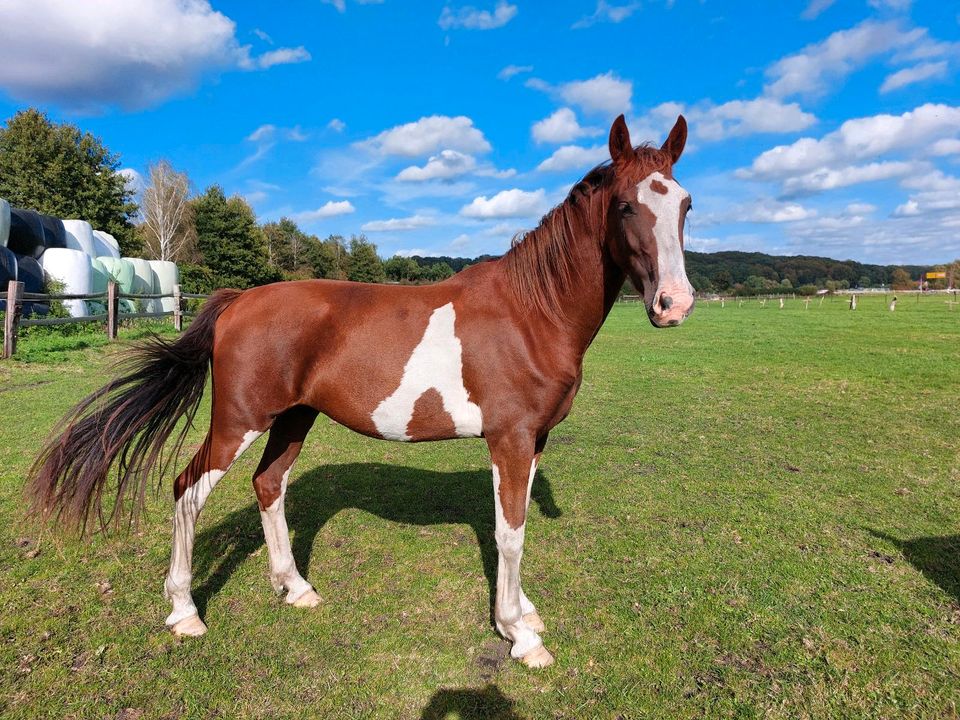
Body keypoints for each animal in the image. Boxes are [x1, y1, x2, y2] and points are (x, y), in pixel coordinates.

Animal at [26, 114, 692, 668]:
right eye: (627, 206)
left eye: (684, 204)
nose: (674, 305)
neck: (531, 312)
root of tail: (238, 301)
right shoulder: (510, 438)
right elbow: (509, 533)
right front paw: (518, 635)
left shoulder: (535, 441)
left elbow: (517, 522)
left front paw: (524, 612)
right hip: (240, 421)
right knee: (187, 489)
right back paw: (185, 613)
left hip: (294, 419)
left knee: (269, 485)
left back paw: (295, 589)